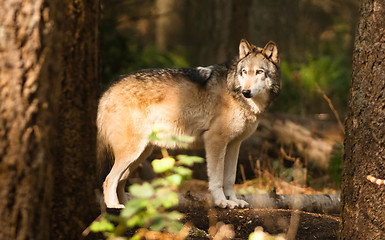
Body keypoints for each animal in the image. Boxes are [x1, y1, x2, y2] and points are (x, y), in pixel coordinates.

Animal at [97, 39, 280, 208]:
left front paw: (234, 201)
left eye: (259, 72)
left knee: (121, 180)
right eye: (244, 72)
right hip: (132, 152)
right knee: (109, 180)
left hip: (141, 153)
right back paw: (114, 207)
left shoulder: (234, 144)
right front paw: (222, 202)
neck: (234, 92)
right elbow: (217, 179)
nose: (246, 91)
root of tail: (108, 89)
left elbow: (229, 178)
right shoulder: (215, 141)